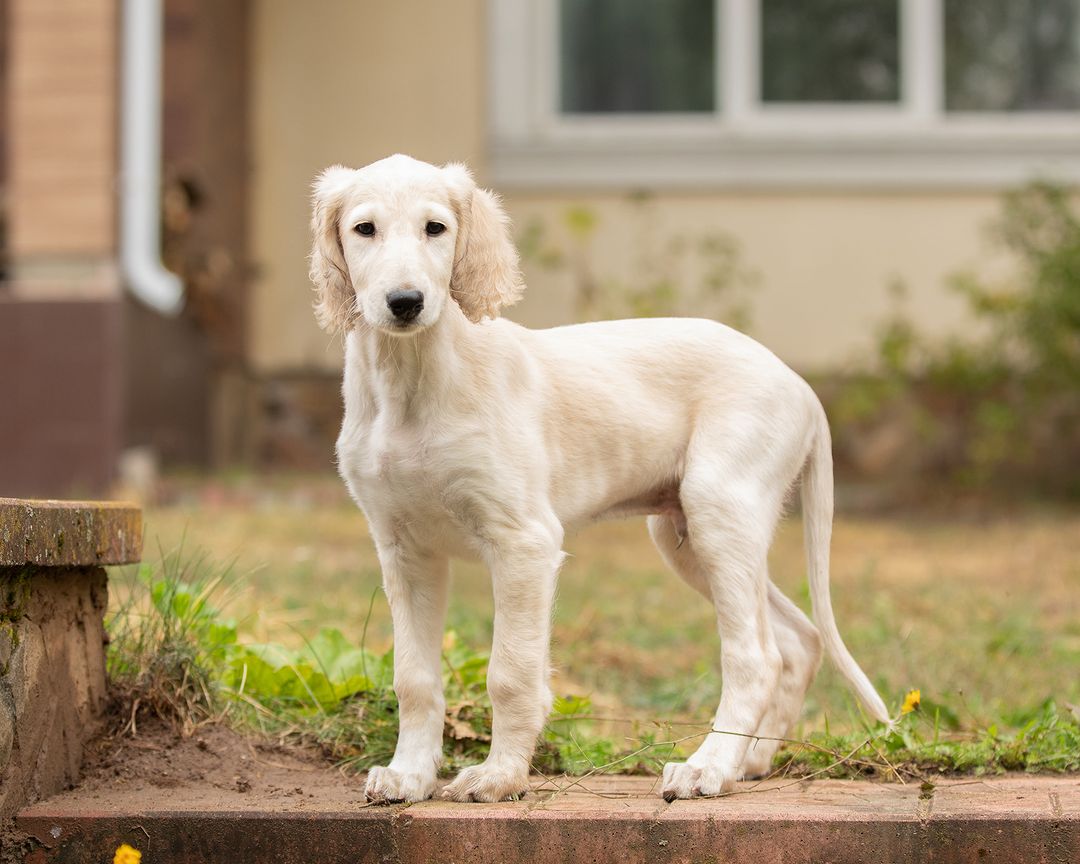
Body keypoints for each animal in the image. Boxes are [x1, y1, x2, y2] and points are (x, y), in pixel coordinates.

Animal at [308, 153, 889, 803]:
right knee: (798, 639)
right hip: (687, 538)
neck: (414, 379)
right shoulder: (404, 550)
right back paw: (749, 761)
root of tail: (801, 384)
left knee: (756, 655)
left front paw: (499, 776)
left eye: (436, 228)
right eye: (364, 229)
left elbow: (510, 673)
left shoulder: (524, 543)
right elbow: (413, 676)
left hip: (720, 510)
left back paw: (708, 767)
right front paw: (409, 775)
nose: (405, 301)